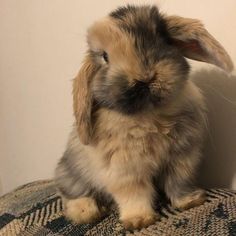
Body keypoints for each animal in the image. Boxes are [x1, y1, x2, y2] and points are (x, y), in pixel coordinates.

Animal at [54, 5, 233, 230]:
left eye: (160, 37)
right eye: (105, 57)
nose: (144, 77)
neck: (151, 116)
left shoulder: (182, 158)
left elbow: (179, 182)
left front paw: (191, 201)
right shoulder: (126, 170)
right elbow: (134, 194)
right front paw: (139, 220)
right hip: (73, 175)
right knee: (70, 196)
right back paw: (87, 212)